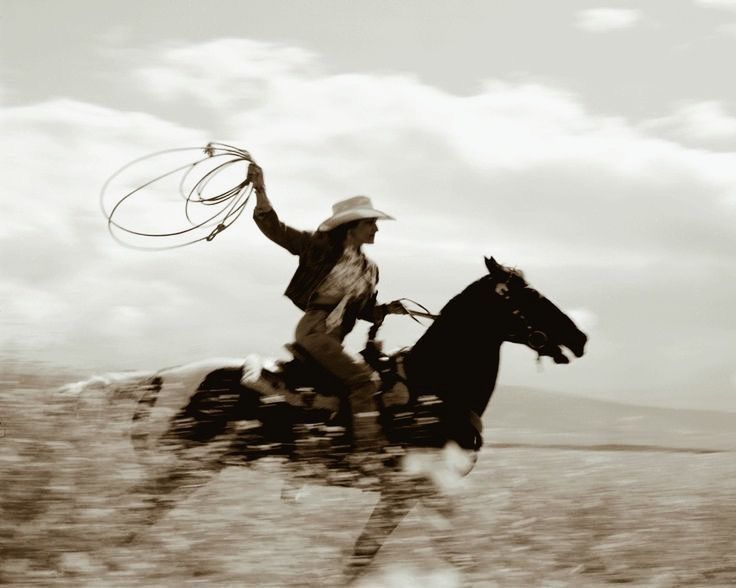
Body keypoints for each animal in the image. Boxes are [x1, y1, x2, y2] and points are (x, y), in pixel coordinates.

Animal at [119, 256, 588, 580]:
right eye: (530, 296)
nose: (579, 337)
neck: (432, 387)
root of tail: (166, 376)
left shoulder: (419, 493)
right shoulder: (412, 490)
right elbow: (377, 553)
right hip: (189, 463)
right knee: (140, 509)